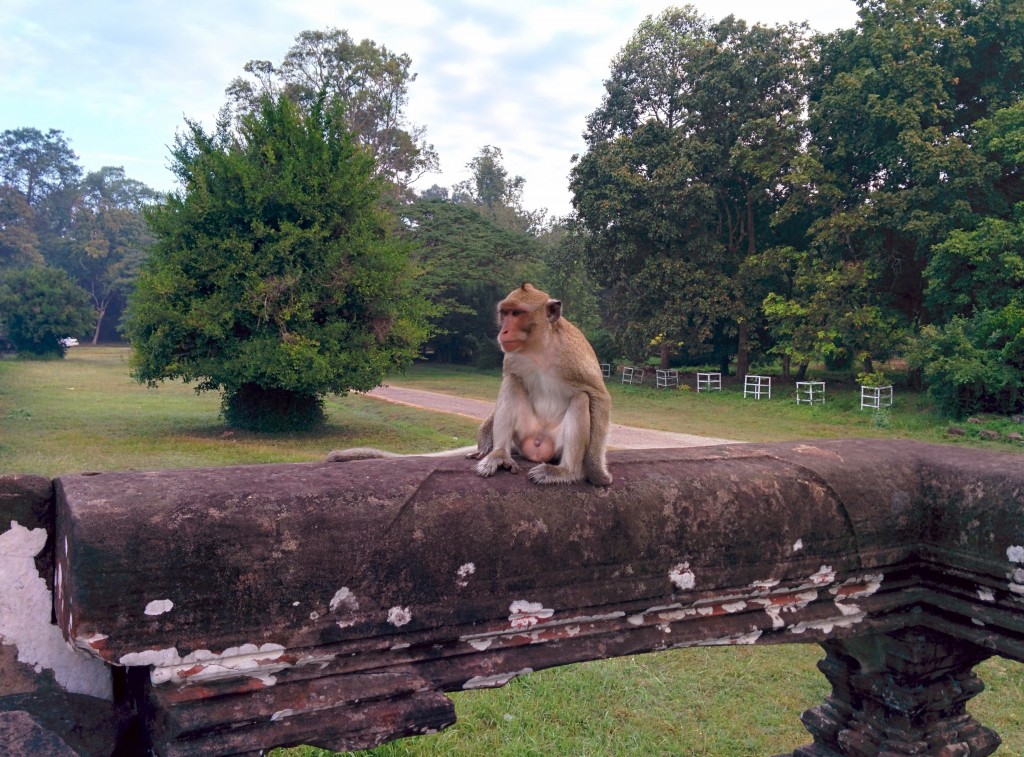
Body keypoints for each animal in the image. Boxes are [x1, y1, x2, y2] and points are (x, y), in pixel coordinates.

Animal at [468, 282, 610, 485]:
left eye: (516, 313)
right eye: (505, 313)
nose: (504, 331)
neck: (539, 348)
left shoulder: (574, 356)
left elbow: (599, 395)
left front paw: (597, 472)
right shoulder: (512, 357)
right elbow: (511, 376)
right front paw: (485, 440)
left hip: (556, 443)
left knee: (581, 398)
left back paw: (567, 471)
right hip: (525, 433)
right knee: (511, 381)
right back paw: (500, 454)